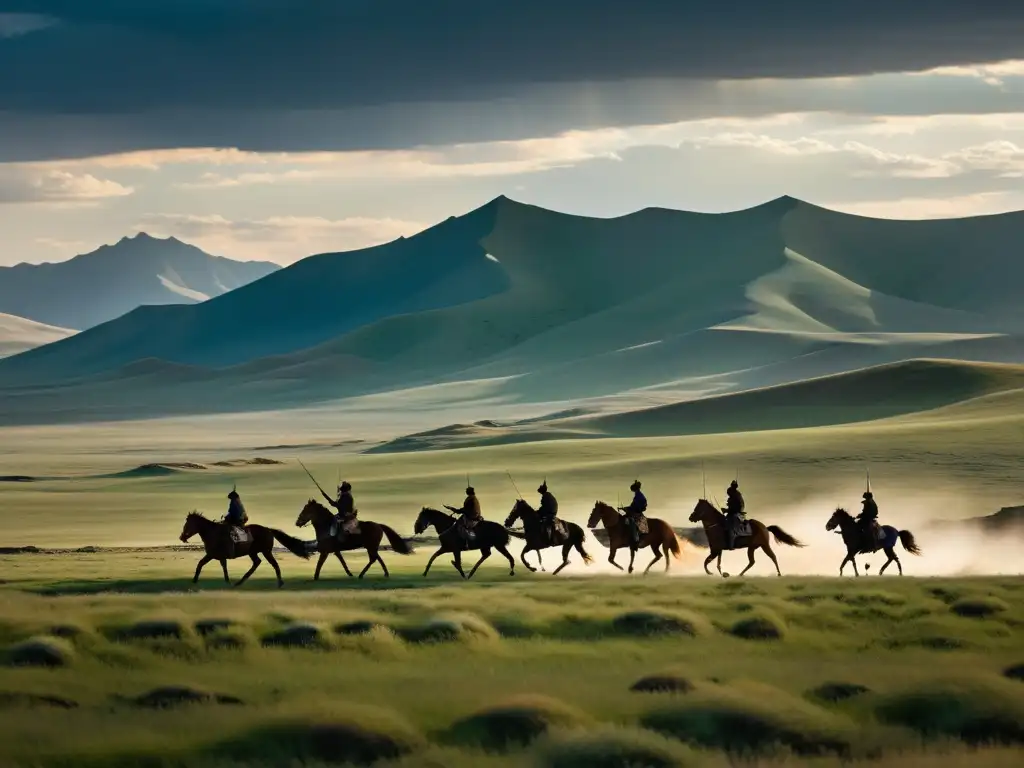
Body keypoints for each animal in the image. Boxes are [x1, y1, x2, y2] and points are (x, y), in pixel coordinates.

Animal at [178, 512, 311, 589]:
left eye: (188, 524)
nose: (182, 537)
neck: (212, 533)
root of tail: (268, 529)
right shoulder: (218, 556)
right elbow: (222, 567)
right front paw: (227, 581)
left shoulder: (211, 554)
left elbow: (200, 564)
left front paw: (194, 580)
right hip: (253, 552)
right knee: (257, 563)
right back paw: (240, 581)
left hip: (266, 551)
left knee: (274, 564)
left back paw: (279, 583)